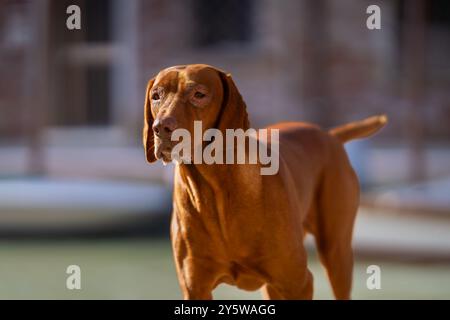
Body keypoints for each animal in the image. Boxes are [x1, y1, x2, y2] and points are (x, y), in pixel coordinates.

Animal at [143, 63, 386, 298]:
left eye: (199, 94)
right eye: (156, 96)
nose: (161, 128)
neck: (215, 193)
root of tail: (329, 135)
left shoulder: (298, 284)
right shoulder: (195, 287)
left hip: (336, 252)